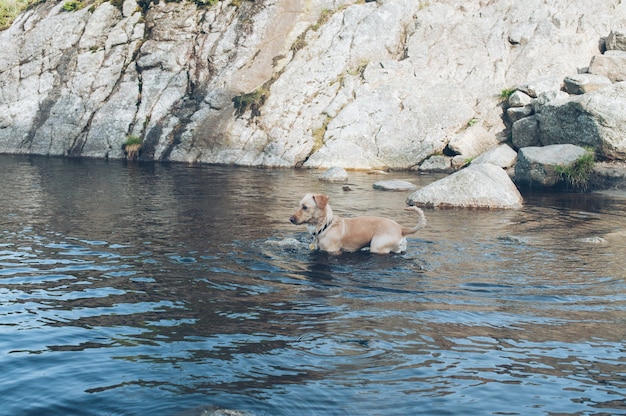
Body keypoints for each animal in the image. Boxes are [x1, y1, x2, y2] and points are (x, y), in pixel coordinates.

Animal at [288, 193, 424, 255]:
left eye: (305, 207)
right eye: (299, 205)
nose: (290, 219)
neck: (326, 226)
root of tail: (401, 228)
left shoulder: (332, 251)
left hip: (377, 246)